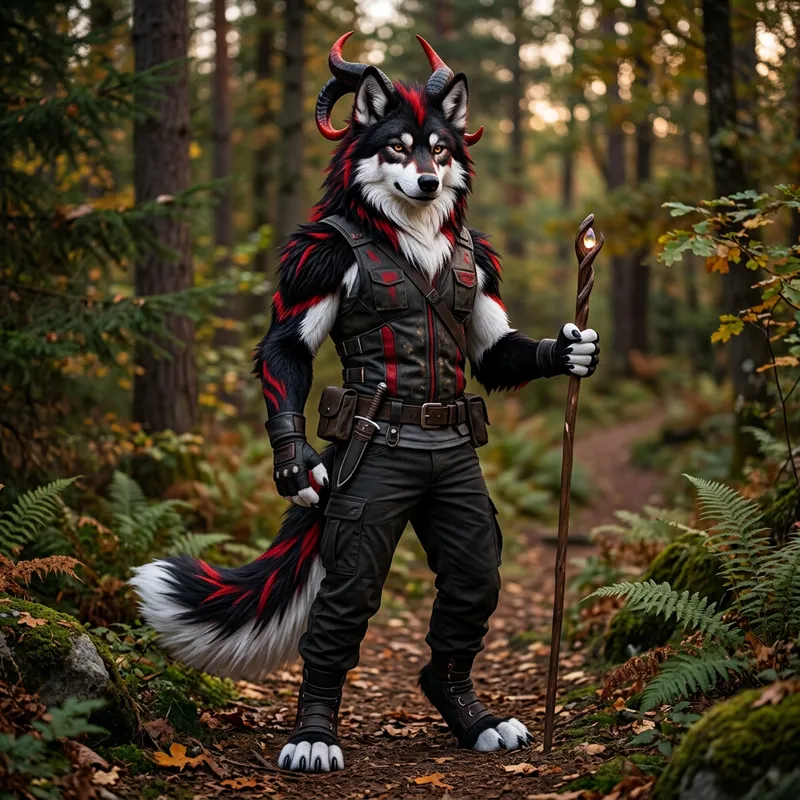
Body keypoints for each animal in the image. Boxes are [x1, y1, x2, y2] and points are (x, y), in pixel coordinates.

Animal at [131, 33, 599, 773]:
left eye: (439, 150)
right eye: (396, 146)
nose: (430, 183)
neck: (413, 232)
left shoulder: (480, 269)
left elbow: (493, 350)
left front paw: (575, 351)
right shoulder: (314, 260)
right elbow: (285, 347)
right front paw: (294, 467)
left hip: (458, 508)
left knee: (469, 590)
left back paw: (465, 709)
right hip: (363, 512)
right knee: (341, 610)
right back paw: (314, 735)